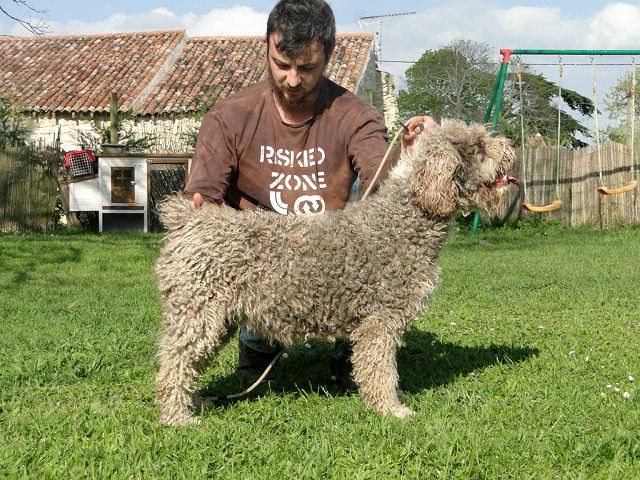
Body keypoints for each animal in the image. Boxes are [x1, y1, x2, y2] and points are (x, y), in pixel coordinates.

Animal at [156, 122, 520, 426]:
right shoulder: (380, 322)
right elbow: (380, 370)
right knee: (174, 364)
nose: (513, 143)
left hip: (216, 320)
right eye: (478, 146)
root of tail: (186, 219)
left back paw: (195, 403)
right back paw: (177, 417)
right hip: (198, 314)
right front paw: (391, 409)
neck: (403, 221)